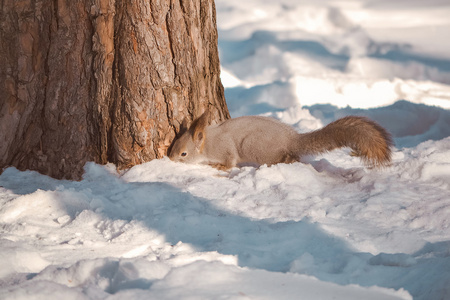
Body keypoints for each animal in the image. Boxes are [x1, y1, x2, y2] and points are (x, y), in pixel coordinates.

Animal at [167, 110, 392, 171]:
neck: (208, 142)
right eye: (173, 147)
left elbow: (230, 161)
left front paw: (220, 168)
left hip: (255, 147)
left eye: (183, 153)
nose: (169, 159)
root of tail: (292, 140)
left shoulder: (226, 148)